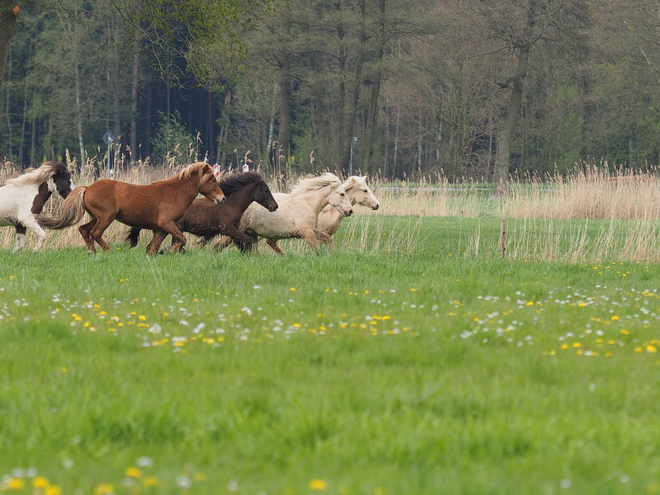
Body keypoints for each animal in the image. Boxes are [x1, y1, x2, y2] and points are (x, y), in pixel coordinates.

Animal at [38, 163, 224, 256]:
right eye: (213, 180)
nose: (222, 198)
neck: (175, 192)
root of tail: (88, 188)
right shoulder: (166, 224)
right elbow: (182, 238)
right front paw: (172, 252)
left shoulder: (160, 229)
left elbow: (153, 247)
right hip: (106, 217)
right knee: (95, 233)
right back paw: (108, 251)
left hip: (96, 217)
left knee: (84, 230)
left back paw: (92, 251)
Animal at [125, 171, 278, 256]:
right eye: (265, 189)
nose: (274, 206)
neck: (230, 204)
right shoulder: (228, 228)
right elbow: (246, 241)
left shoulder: (233, 229)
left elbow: (241, 242)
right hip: (175, 229)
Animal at [214, 172, 354, 254]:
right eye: (342, 194)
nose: (350, 211)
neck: (307, 204)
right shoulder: (307, 233)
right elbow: (317, 249)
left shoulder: (309, 230)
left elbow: (327, 237)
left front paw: (334, 253)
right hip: (235, 231)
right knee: (217, 246)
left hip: (250, 234)